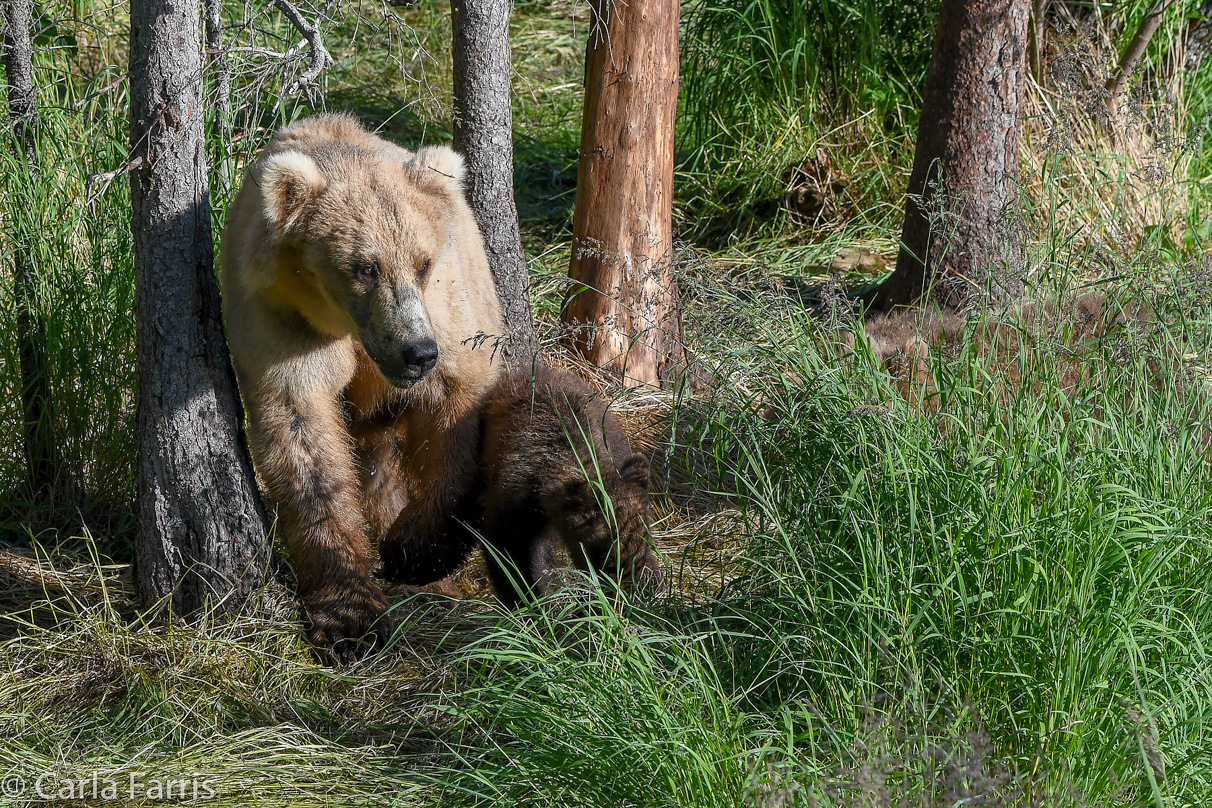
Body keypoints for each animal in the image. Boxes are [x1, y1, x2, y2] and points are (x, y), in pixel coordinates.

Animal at [220, 115, 504, 658]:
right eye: (365, 267)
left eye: (422, 262)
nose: (417, 353)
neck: (350, 330)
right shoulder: (282, 327)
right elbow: (304, 443)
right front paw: (350, 618)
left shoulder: (449, 316)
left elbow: (456, 421)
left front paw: (413, 553)